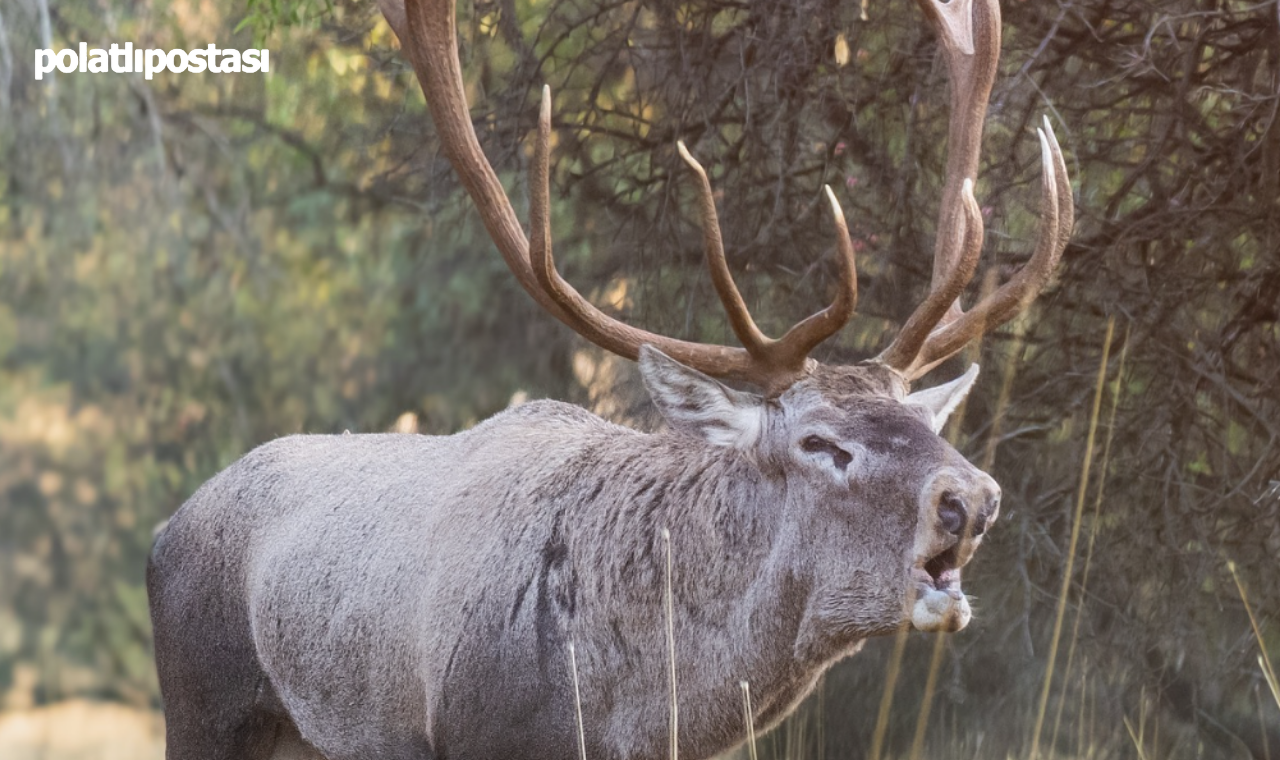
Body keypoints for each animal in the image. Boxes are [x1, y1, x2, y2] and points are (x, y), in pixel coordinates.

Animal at [145, 0, 1075, 752]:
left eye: (924, 425)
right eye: (821, 443)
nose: (971, 499)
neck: (638, 720)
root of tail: (164, 531)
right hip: (203, 708)